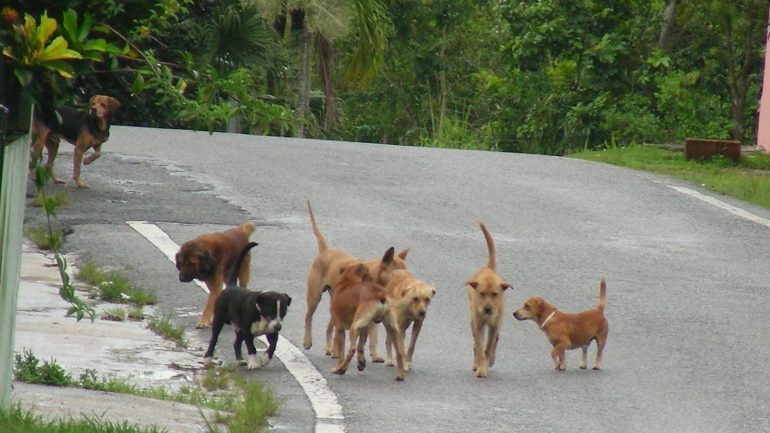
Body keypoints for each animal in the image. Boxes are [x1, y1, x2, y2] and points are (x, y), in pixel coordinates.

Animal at [201, 241, 292, 370]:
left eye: (283, 312)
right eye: (271, 311)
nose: (279, 327)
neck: (260, 314)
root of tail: (231, 285)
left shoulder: (271, 331)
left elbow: (273, 345)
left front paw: (265, 359)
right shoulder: (248, 331)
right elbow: (251, 347)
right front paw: (253, 363)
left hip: (239, 328)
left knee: (236, 343)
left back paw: (240, 360)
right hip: (220, 318)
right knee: (214, 338)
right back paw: (208, 359)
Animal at [302, 202, 408, 362]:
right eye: (397, 274)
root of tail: (325, 250)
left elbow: (372, 335)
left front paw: (374, 354)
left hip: (335, 303)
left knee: (330, 327)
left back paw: (330, 349)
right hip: (314, 296)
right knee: (309, 316)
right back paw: (309, 341)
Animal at [462, 221, 510, 376]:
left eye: (495, 294)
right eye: (481, 293)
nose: (488, 309)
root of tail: (488, 268)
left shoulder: (494, 325)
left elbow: (488, 346)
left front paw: (486, 364)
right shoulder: (477, 324)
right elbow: (479, 346)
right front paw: (481, 367)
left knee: (495, 340)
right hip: (474, 321)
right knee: (477, 345)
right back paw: (477, 363)